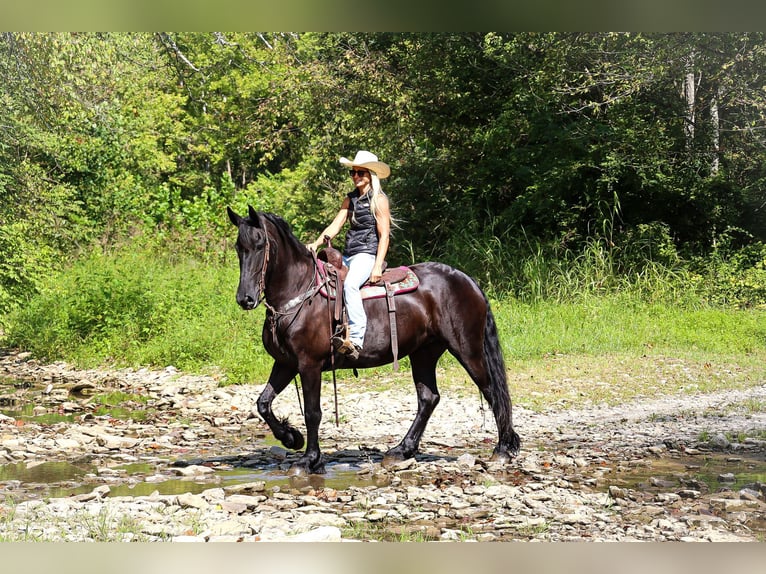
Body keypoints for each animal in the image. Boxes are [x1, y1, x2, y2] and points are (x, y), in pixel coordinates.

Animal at [225, 205, 520, 474]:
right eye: (239, 247)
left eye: (260, 244)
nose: (245, 298)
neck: (300, 291)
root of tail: (466, 280)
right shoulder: (286, 363)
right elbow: (263, 403)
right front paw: (291, 438)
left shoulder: (310, 365)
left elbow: (312, 412)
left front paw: (309, 460)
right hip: (424, 353)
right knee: (429, 398)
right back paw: (401, 451)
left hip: (467, 350)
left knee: (492, 391)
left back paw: (502, 450)